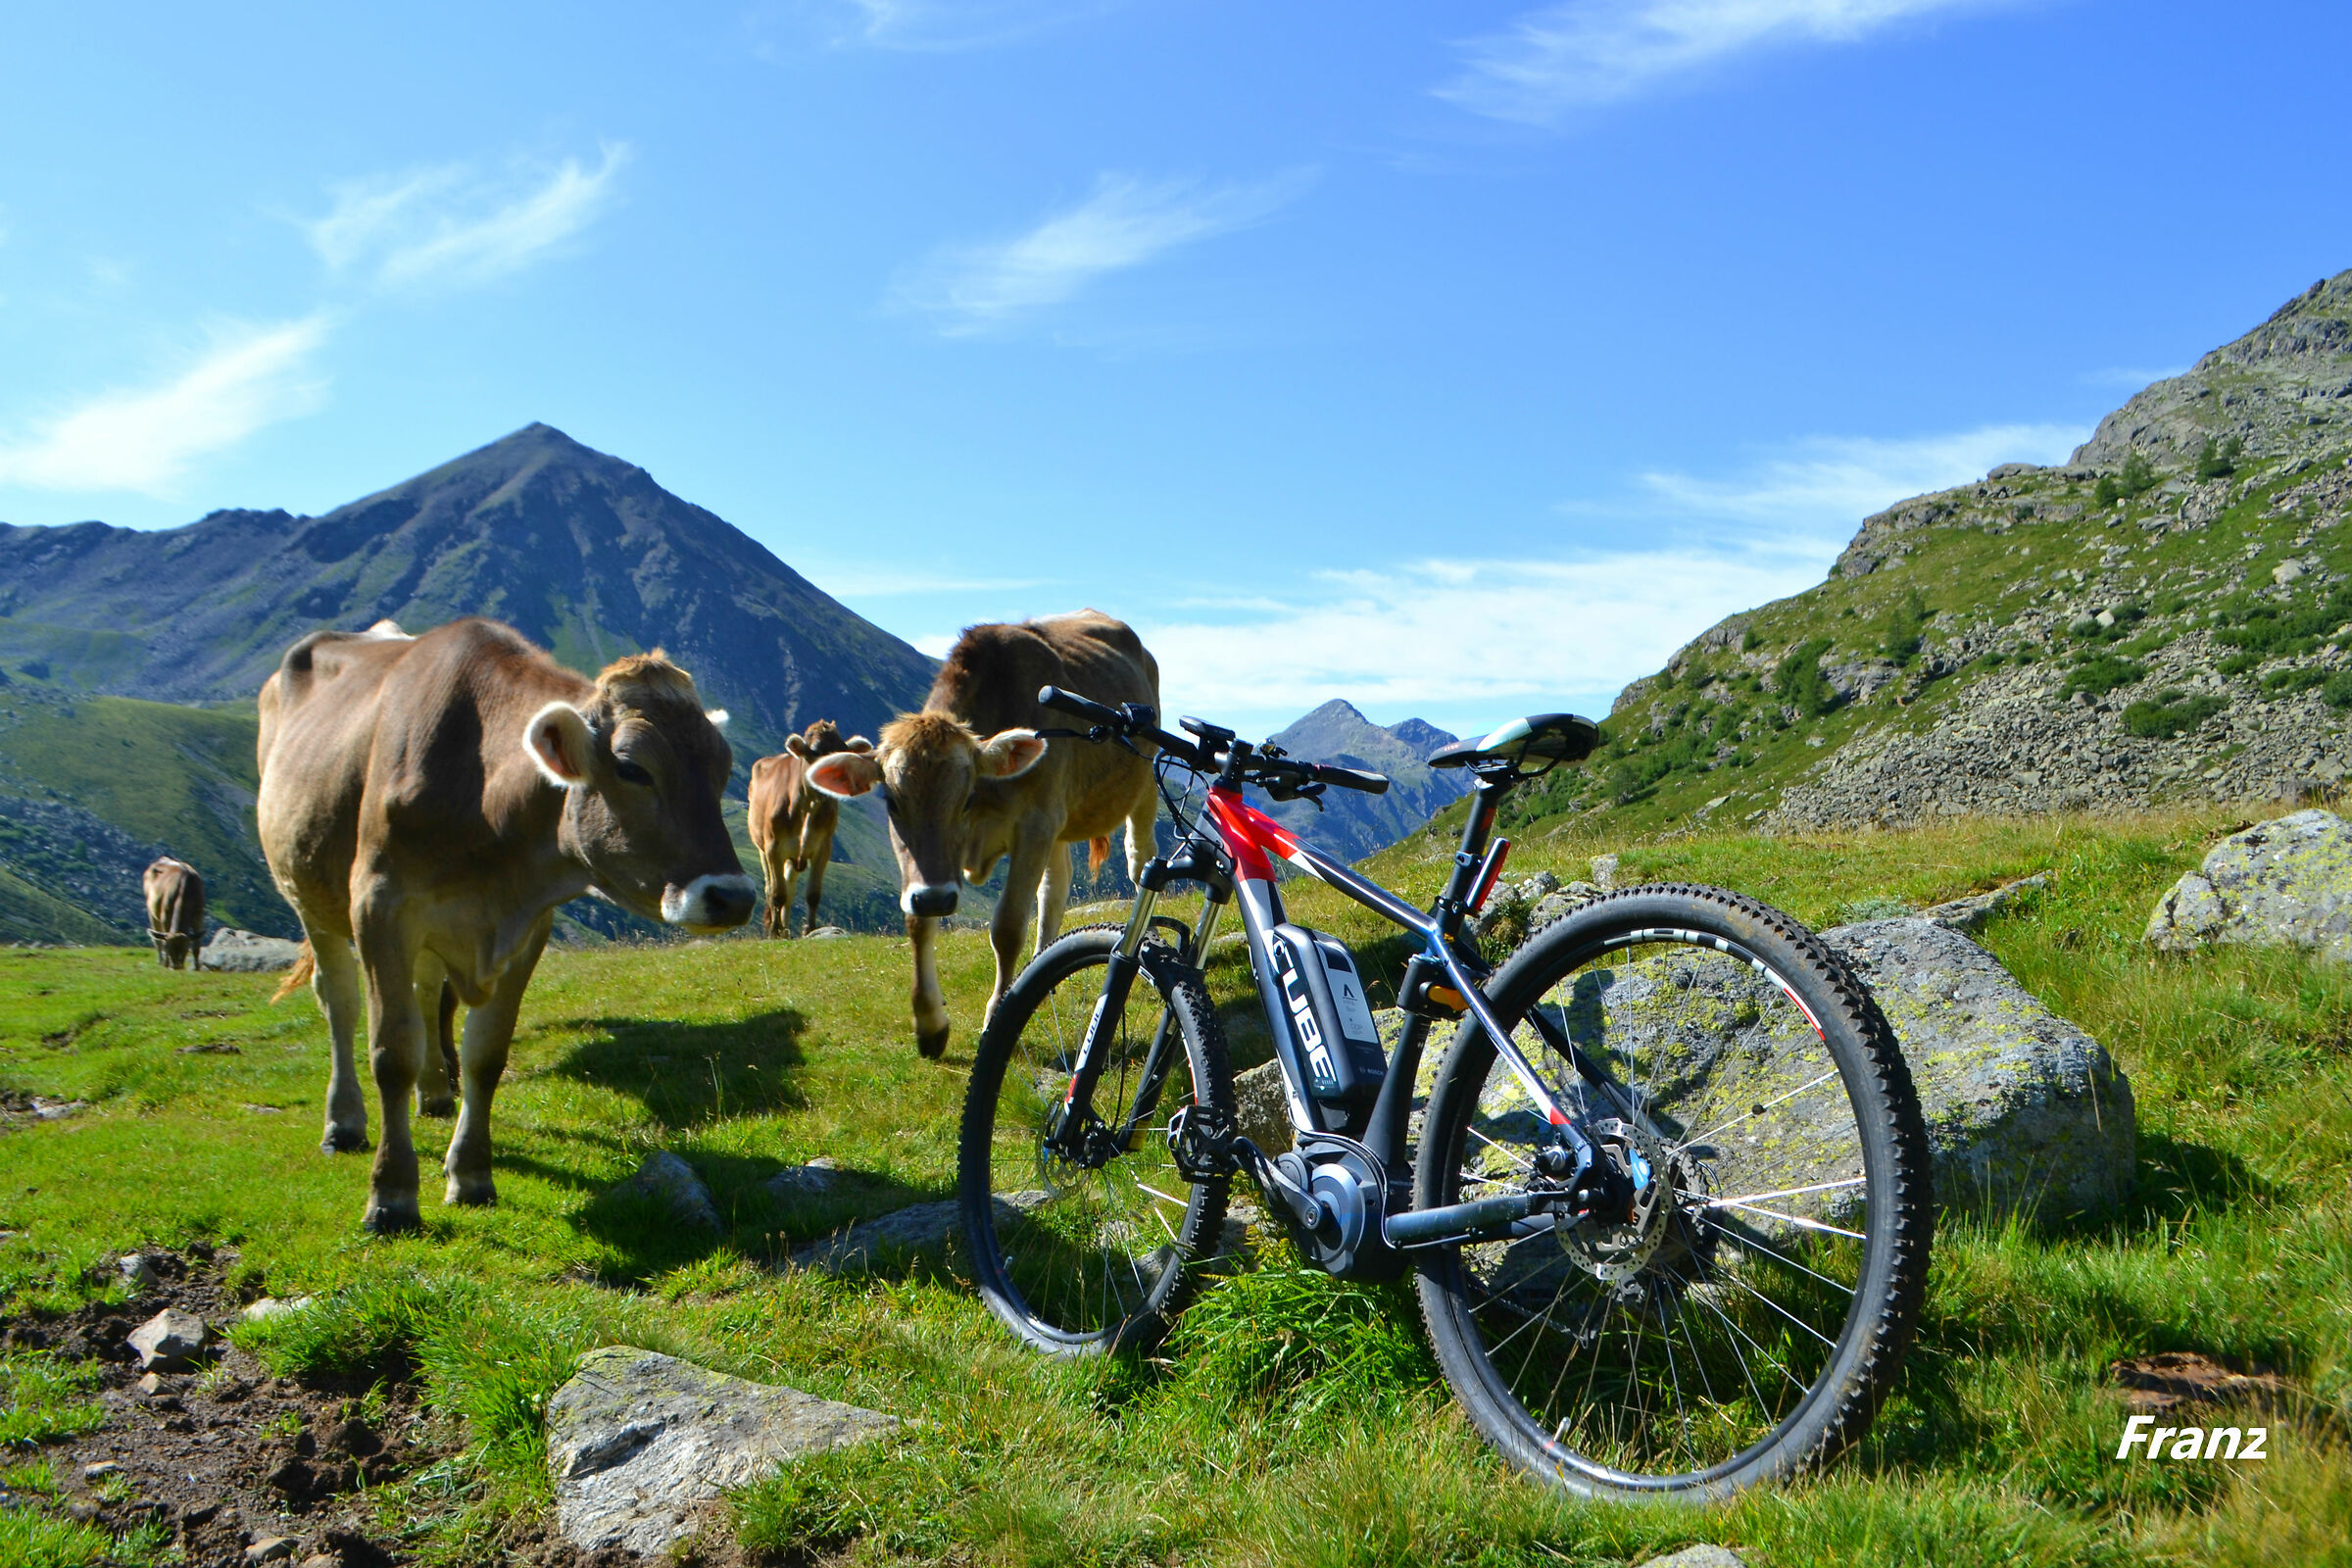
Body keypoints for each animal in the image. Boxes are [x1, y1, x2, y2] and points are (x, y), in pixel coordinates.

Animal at [256, 615, 755, 1233]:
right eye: (632, 768)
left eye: (723, 768)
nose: (733, 897)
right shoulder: (379, 906)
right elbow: (391, 1052)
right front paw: (391, 1196)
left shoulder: (528, 928)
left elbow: (487, 1055)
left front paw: (471, 1175)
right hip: (307, 892)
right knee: (339, 1000)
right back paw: (343, 1123)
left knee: (427, 993)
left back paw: (435, 1093)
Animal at [747, 720, 870, 938]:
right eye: (814, 752)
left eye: (843, 754)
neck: (808, 806)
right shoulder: (773, 847)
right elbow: (777, 893)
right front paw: (774, 932)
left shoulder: (824, 846)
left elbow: (812, 894)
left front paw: (810, 929)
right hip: (762, 848)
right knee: (771, 888)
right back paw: (779, 930)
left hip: (793, 855)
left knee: (790, 888)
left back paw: (786, 931)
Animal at [808, 610, 1158, 1058]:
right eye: (891, 801)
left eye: (966, 797)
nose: (935, 898)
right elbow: (918, 922)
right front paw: (929, 1023)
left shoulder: (1035, 822)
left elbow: (1007, 926)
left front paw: (996, 1017)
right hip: (1059, 822)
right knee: (1055, 887)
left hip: (1142, 783)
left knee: (1139, 857)